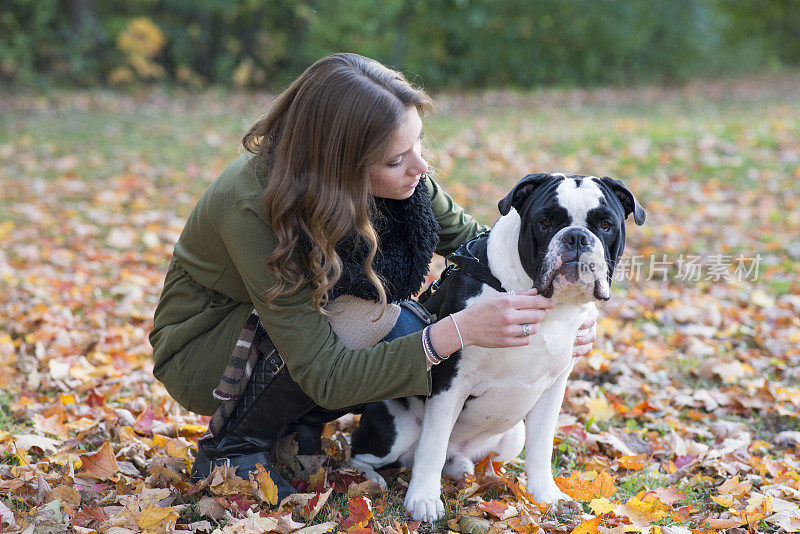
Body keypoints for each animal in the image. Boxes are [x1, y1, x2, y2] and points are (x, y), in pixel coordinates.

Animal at [350, 173, 644, 524]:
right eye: (545, 223)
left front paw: (546, 495)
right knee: (366, 455)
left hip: (512, 436)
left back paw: (463, 469)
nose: (576, 237)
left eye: (605, 225)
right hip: (397, 430)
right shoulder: (450, 382)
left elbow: (541, 448)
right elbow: (431, 447)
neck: (550, 306)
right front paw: (423, 499)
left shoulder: (553, 389)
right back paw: (370, 481)